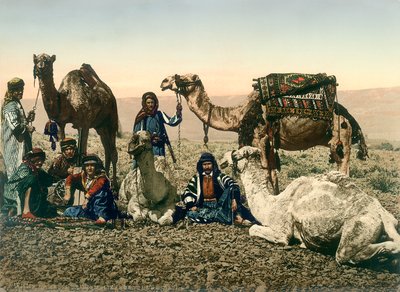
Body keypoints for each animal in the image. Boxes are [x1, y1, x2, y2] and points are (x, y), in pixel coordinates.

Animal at [33, 53, 118, 185]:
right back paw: (106, 178)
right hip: (100, 126)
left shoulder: (84, 124)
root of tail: (109, 93)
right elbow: (63, 146)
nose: (40, 67)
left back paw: (113, 185)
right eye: (36, 60)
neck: (65, 100)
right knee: (107, 150)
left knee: (113, 152)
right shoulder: (61, 123)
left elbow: (83, 153)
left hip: (112, 119)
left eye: (47, 61)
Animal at [160, 74, 368, 195]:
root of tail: (349, 117)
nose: (164, 81)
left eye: (184, 76)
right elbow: (273, 174)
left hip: (341, 139)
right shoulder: (269, 143)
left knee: (344, 169)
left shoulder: (260, 139)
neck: (239, 115)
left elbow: (265, 172)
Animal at [220, 147, 400, 266]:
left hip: (358, 228)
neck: (271, 204)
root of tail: (382, 214)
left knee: (346, 254)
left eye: (235, 154)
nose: (222, 159)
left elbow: (255, 230)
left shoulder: (281, 230)